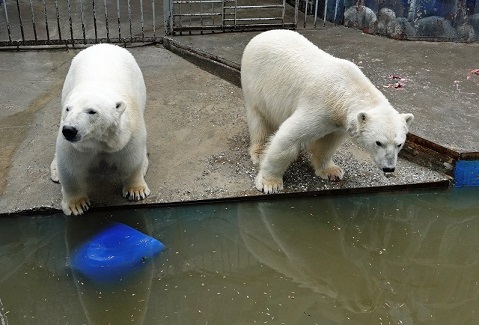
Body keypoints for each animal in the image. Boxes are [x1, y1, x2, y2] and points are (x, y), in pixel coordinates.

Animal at [50, 43, 150, 215]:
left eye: (91, 111)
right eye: (68, 109)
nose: (69, 130)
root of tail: (103, 44)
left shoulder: (127, 134)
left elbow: (132, 159)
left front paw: (136, 191)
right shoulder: (75, 145)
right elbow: (70, 167)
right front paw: (77, 205)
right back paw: (55, 171)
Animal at [242, 29, 414, 192]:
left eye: (399, 144)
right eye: (379, 142)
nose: (389, 168)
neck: (345, 91)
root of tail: (261, 35)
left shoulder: (338, 120)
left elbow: (328, 142)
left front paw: (332, 171)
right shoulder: (319, 106)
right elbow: (288, 138)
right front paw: (270, 183)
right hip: (255, 83)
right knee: (259, 119)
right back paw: (259, 151)